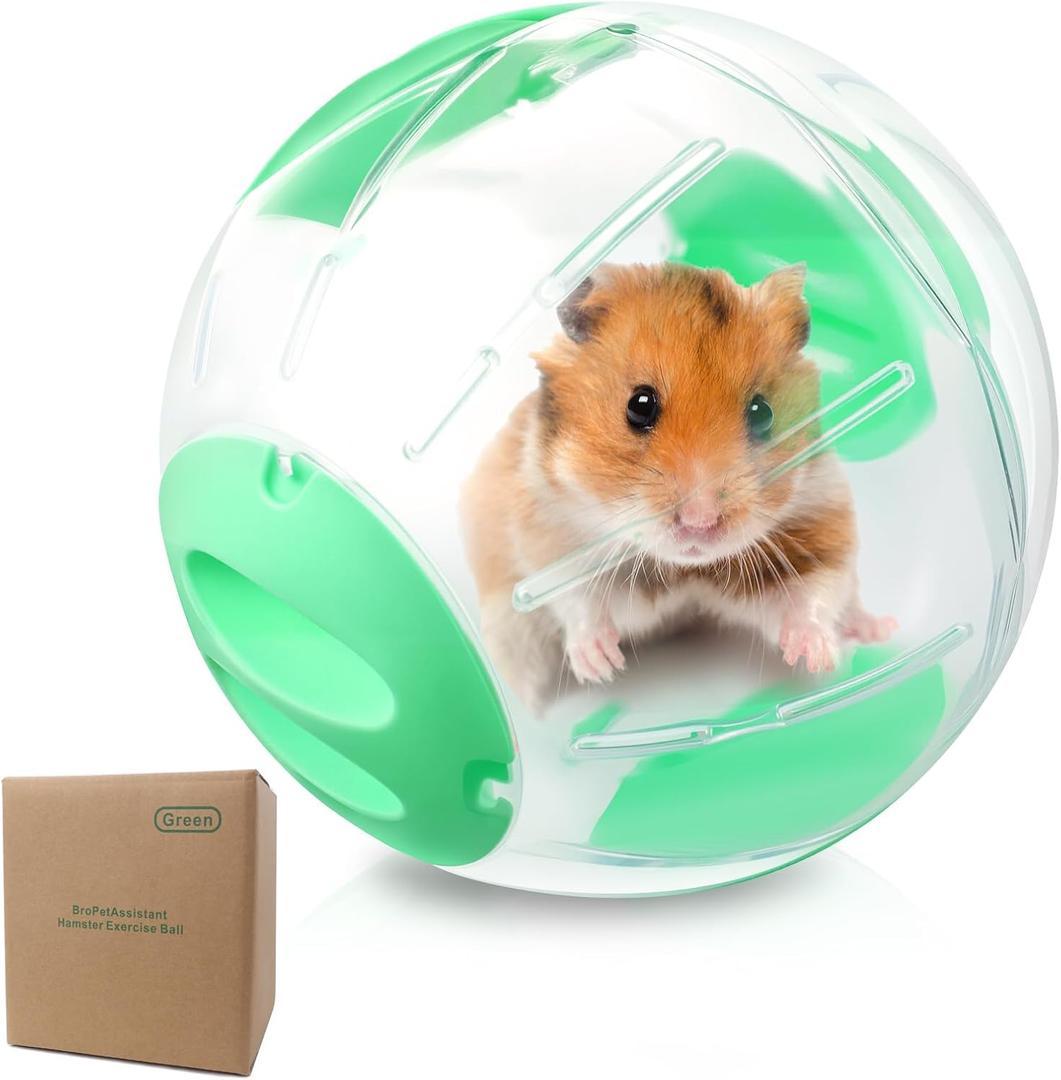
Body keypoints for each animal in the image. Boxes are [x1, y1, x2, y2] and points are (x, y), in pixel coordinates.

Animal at [459, 262, 896, 709]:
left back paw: (877, 628)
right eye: (639, 405)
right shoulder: (546, 535)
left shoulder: (819, 521)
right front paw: (603, 666)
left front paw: (817, 657)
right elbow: (576, 600)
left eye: (762, 413)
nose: (699, 522)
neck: (684, 568)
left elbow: (813, 591)